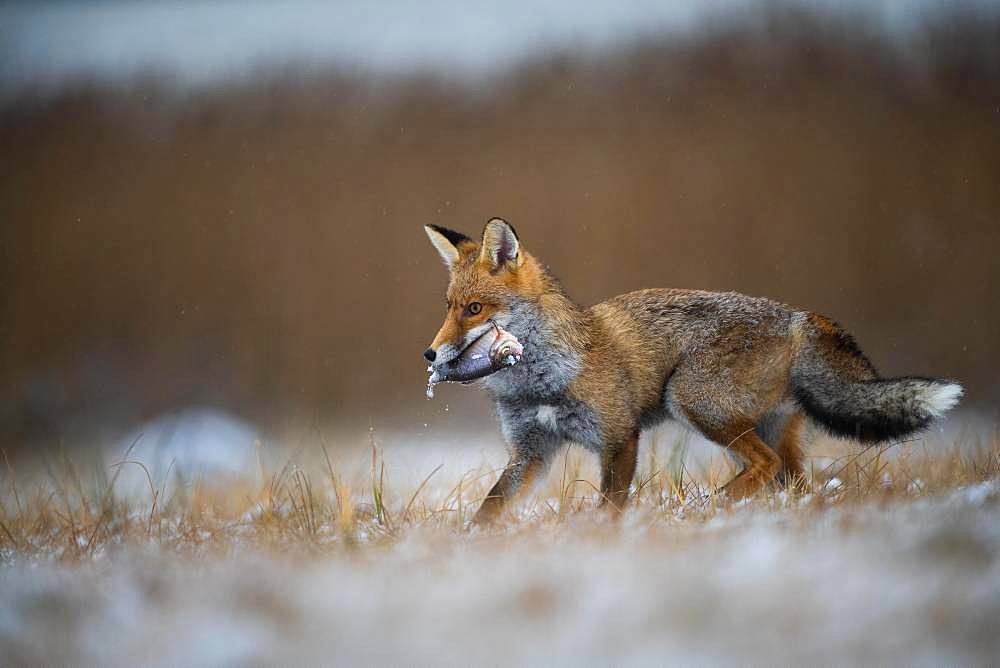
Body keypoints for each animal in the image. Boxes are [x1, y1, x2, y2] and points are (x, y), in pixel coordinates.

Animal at [422, 218, 960, 520]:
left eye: (474, 309)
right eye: (447, 307)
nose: (431, 354)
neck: (541, 382)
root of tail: (799, 316)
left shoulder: (619, 438)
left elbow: (609, 508)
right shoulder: (531, 451)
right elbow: (488, 511)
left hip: (693, 401)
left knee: (762, 466)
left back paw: (707, 508)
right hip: (768, 433)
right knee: (794, 484)